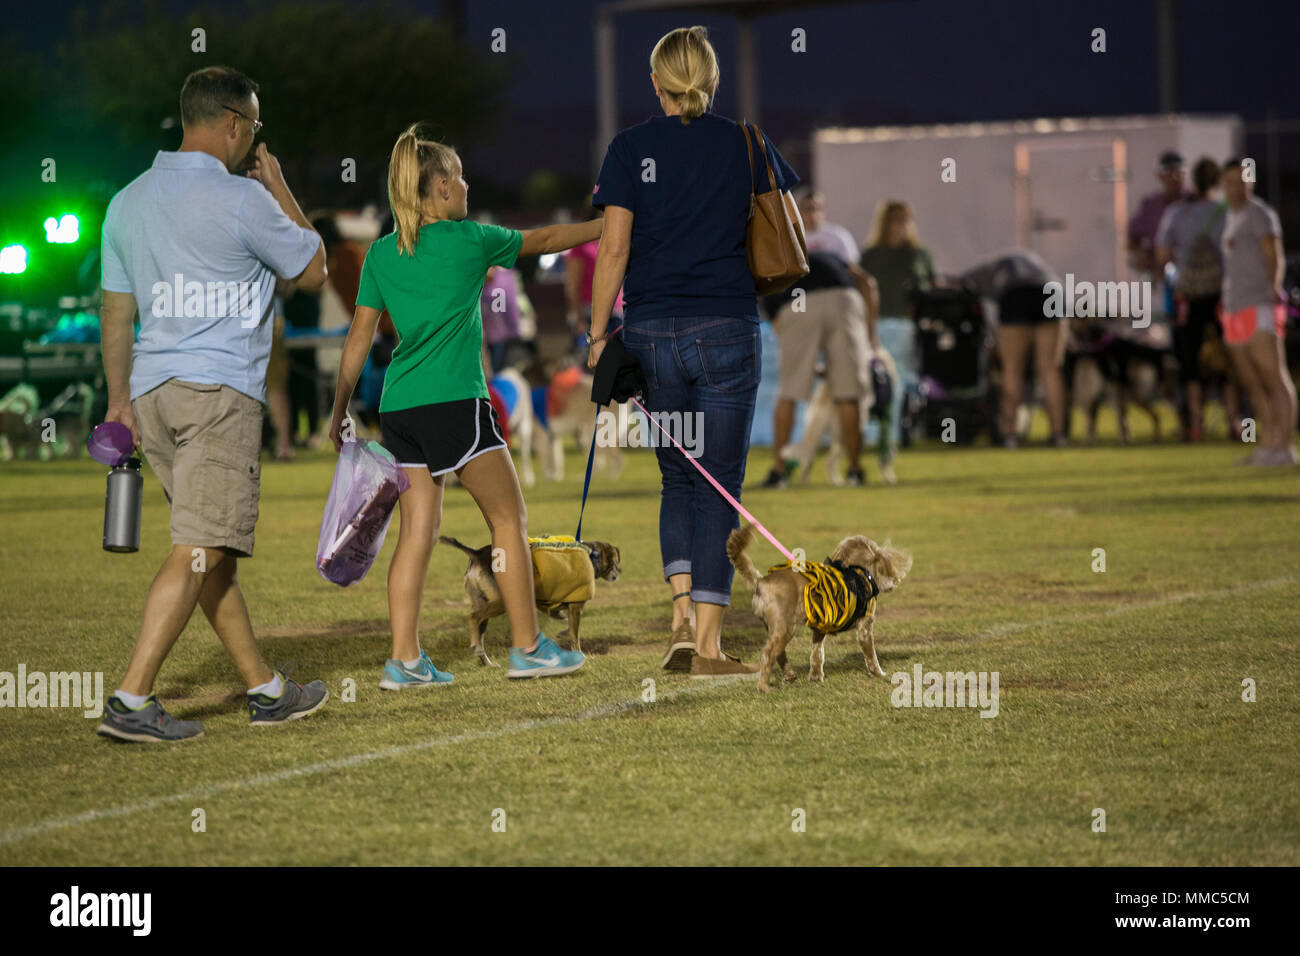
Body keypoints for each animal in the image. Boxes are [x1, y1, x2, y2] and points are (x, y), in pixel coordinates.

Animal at [439, 538, 621, 665]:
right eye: (614, 563)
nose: (618, 573)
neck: (592, 556)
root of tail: (477, 554)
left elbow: (566, 623)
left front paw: (563, 630)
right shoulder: (576, 608)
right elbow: (575, 635)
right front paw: (580, 655)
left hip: (484, 603)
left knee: (479, 627)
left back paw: (486, 661)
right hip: (500, 602)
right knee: (474, 617)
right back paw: (476, 646)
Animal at [722, 522, 915, 697]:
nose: (894, 580)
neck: (854, 573)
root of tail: (761, 582)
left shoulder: (820, 627)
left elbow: (817, 653)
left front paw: (816, 677)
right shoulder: (865, 627)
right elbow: (871, 655)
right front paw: (878, 673)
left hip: (774, 628)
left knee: (779, 654)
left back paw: (790, 675)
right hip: (785, 627)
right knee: (767, 654)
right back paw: (764, 687)